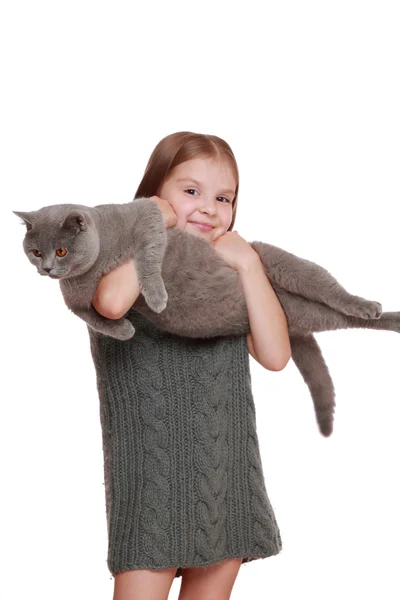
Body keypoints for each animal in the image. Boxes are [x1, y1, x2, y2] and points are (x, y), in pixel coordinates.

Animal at [13, 197, 400, 436]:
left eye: (61, 250)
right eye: (35, 252)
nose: (47, 269)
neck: (96, 266)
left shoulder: (146, 216)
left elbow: (148, 257)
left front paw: (156, 298)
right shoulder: (74, 299)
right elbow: (89, 314)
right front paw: (123, 329)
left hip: (276, 261)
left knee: (330, 291)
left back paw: (369, 306)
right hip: (297, 313)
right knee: (334, 318)